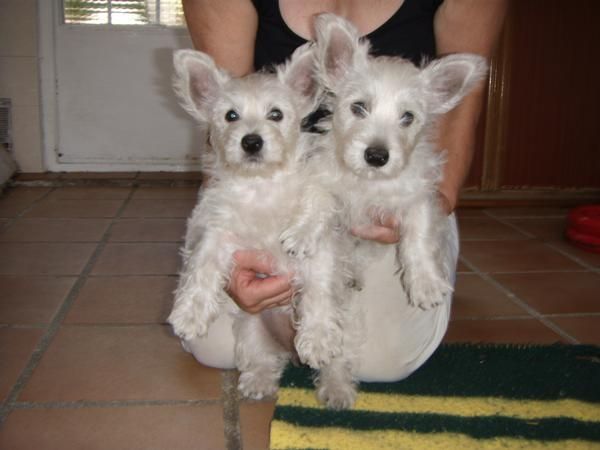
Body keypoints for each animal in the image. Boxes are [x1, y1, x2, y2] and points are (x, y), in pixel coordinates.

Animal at [166, 43, 358, 408]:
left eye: (276, 114)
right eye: (230, 116)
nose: (251, 142)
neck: (262, 186)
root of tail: (288, 350)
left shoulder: (318, 247)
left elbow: (319, 290)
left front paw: (317, 339)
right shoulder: (219, 232)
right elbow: (202, 266)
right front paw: (189, 315)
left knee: (337, 363)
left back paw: (336, 389)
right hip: (252, 327)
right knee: (261, 359)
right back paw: (257, 383)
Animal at [314, 14, 488, 310]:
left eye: (408, 117)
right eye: (358, 107)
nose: (376, 156)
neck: (370, 182)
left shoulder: (419, 197)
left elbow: (419, 236)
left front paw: (426, 284)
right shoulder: (324, 177)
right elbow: (321, 201)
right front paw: (303, 231)